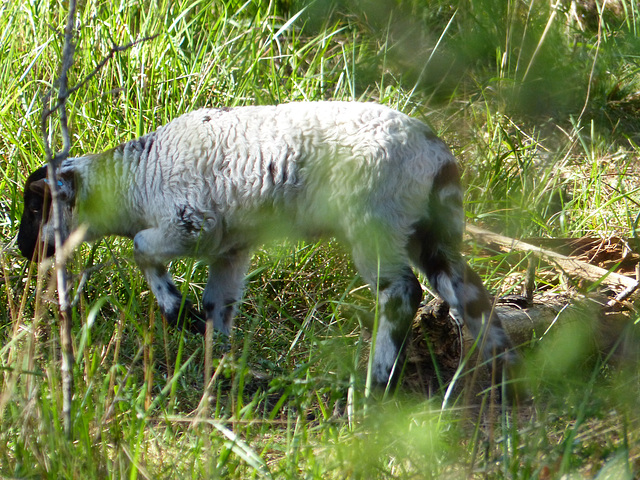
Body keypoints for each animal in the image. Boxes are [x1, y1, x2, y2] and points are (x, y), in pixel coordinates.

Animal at [16, 101, 516, 386]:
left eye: (38, 206)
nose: (23, 248)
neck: (134, 183)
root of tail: (437, 155)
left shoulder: (189, 222)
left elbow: (141, 247)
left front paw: (175, 308)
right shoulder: (230, 245)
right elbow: (219, 301)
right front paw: (214, 348)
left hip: (377, 219)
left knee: (402, 293)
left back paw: (378, 380)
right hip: (429, 229)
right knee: (468, 290)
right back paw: (504, 372)